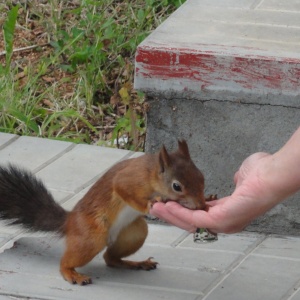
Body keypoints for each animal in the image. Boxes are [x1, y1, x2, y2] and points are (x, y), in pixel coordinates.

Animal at [0, 141, 210, 286]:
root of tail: (69, 221)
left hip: (134, 233)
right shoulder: (130, 179)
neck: (151, 173)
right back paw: (71, 273)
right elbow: (122, 187)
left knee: (110, 258)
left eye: (201, 177)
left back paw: (136, 263)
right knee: (68, 261)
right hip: (91, 236)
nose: (201, 205)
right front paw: (151, 204)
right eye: (177, 186)